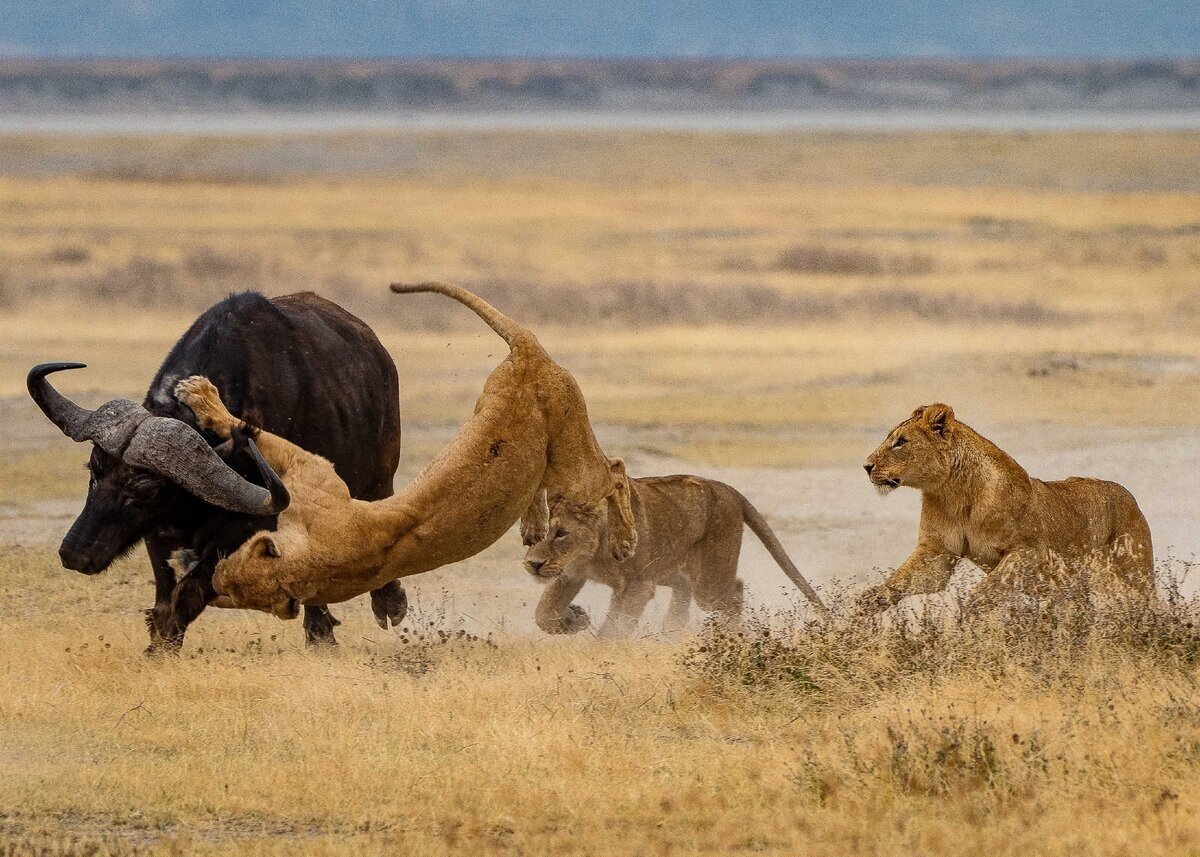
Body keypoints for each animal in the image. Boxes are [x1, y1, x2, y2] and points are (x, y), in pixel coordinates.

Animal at [31, 290, 408, 652]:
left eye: (144, 489)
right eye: (94, 471)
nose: (74, 553)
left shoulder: (247, 529)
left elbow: (189, 593)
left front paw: (161, 650)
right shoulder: (158, 533)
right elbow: (165, 596)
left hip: (379, 477)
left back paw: (374, 610)